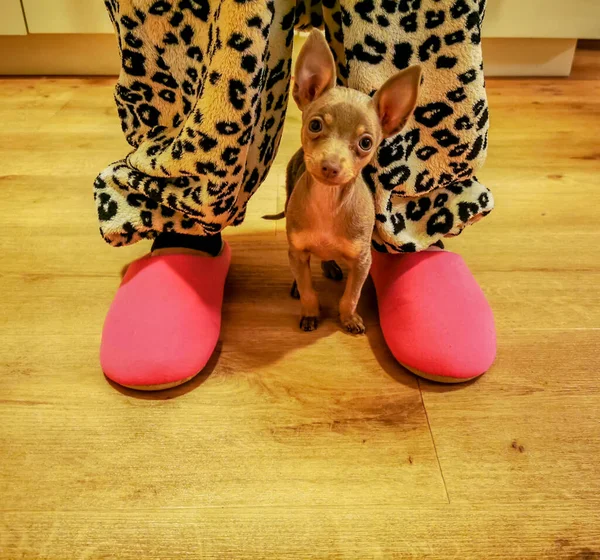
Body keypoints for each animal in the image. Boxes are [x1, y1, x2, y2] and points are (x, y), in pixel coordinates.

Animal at [264, 30, 422, 334]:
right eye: (315, 125)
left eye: (366, 143)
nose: (331, 166)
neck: (328, 201)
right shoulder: (297, 251)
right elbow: (308, 289)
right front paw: (310, 312)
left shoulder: (362, 262)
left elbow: (351, 295)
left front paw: (349, 318)